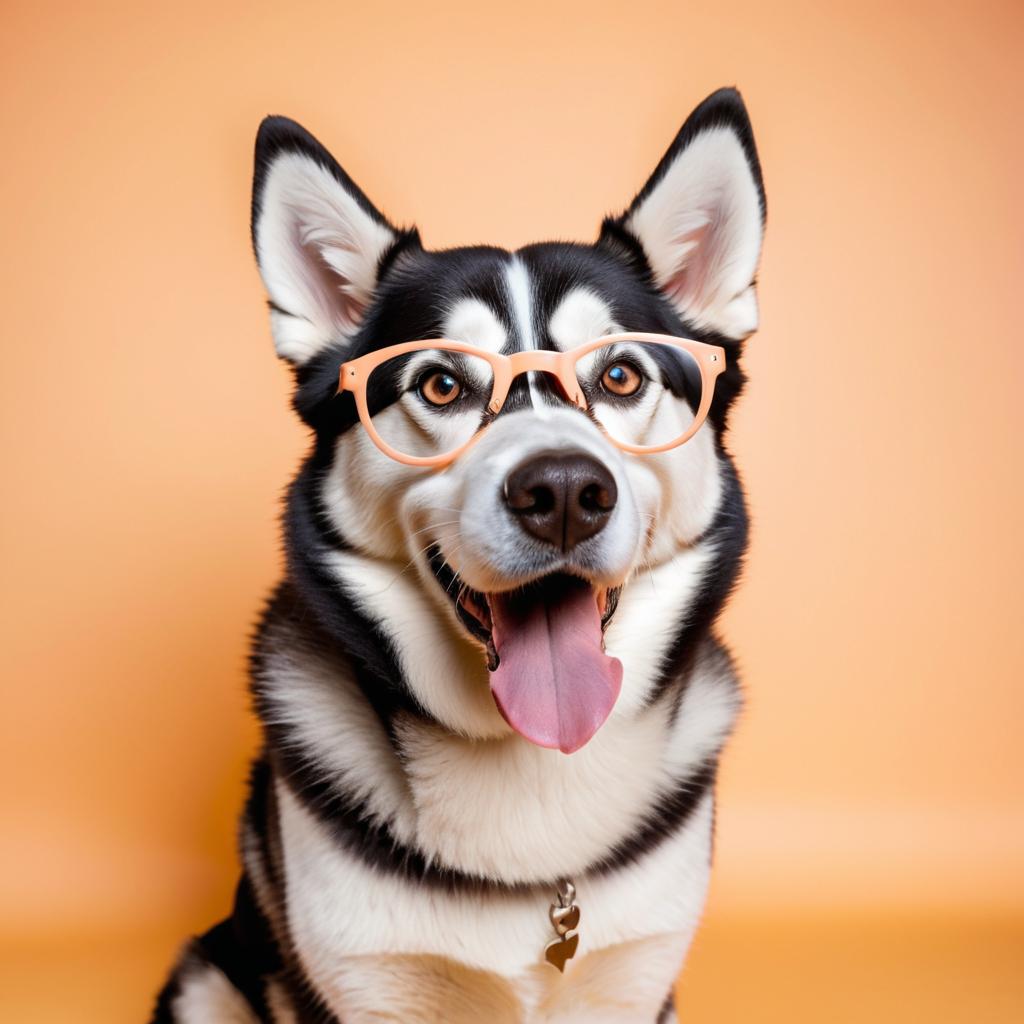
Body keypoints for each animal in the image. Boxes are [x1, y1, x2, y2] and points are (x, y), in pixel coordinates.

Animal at [149, 88, 761, 1024]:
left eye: (620, 376)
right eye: (441, 384)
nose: (563, 492)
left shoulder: (638, 980)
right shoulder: (358, 989)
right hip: (204, 977)